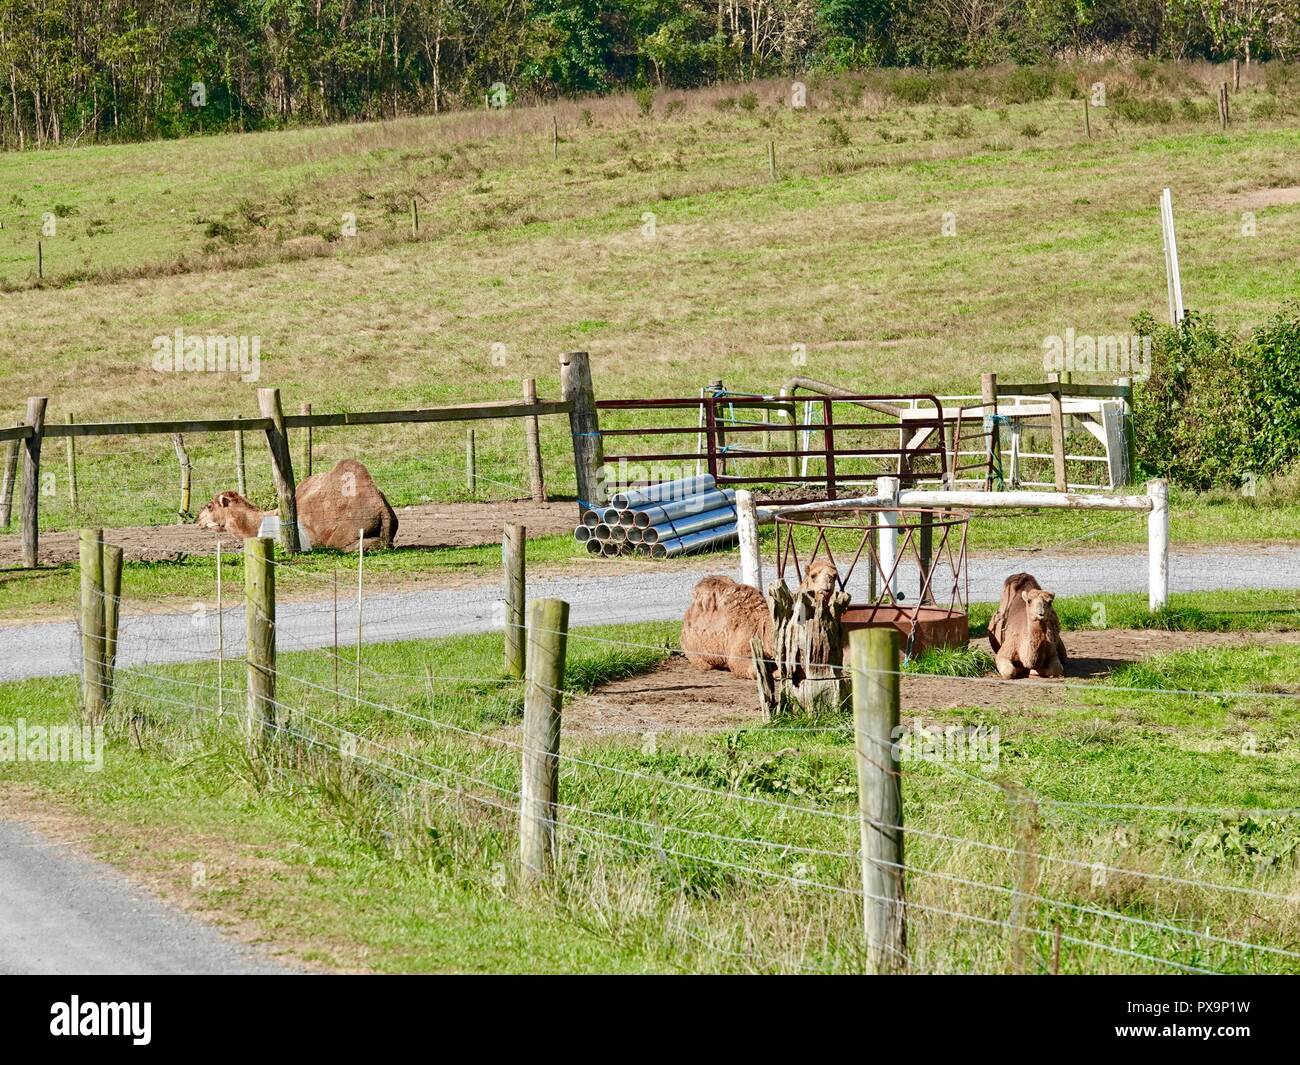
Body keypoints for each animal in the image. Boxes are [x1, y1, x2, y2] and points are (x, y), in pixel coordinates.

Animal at [681, 561, 839, 679]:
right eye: (813, 575)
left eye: (835, 576)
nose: (826, 589)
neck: (764, 628)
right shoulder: (740, 651)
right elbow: (749, 668)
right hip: (695, 654)